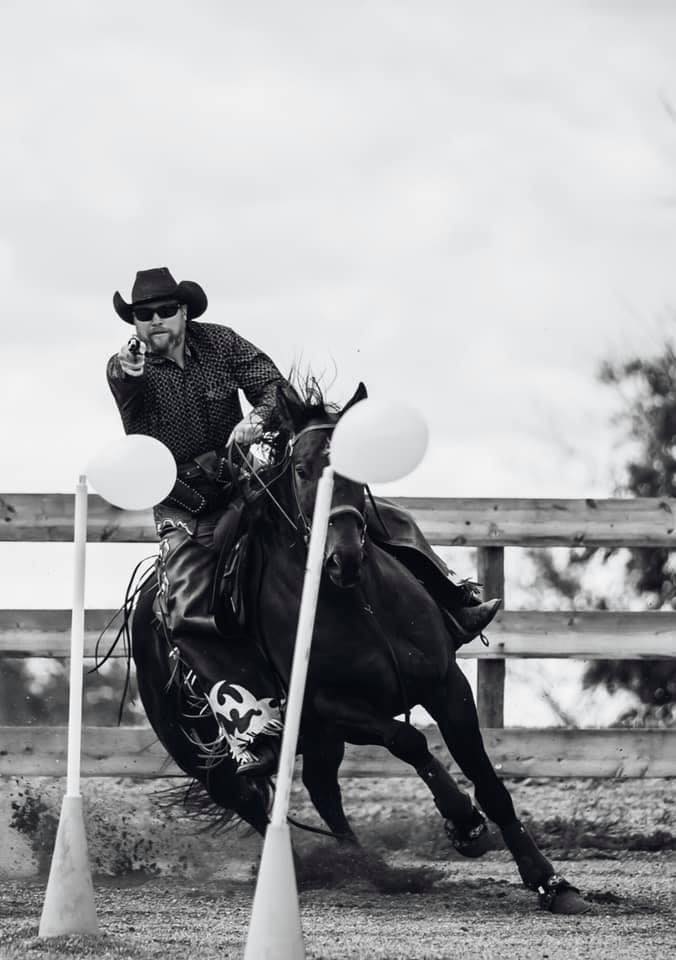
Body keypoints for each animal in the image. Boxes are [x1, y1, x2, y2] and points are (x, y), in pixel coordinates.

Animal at [131, 382, 588, 916]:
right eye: (302, 470)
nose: (343, 555)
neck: (359, 603)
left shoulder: (447, 686)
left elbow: (490, 783)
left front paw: (550, 882)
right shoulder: (332, 707)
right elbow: (409, 741)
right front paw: (463, 821)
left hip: (318, 742)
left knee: (322, 791)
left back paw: (373, 871)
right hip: (209, 758)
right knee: (254, 803)